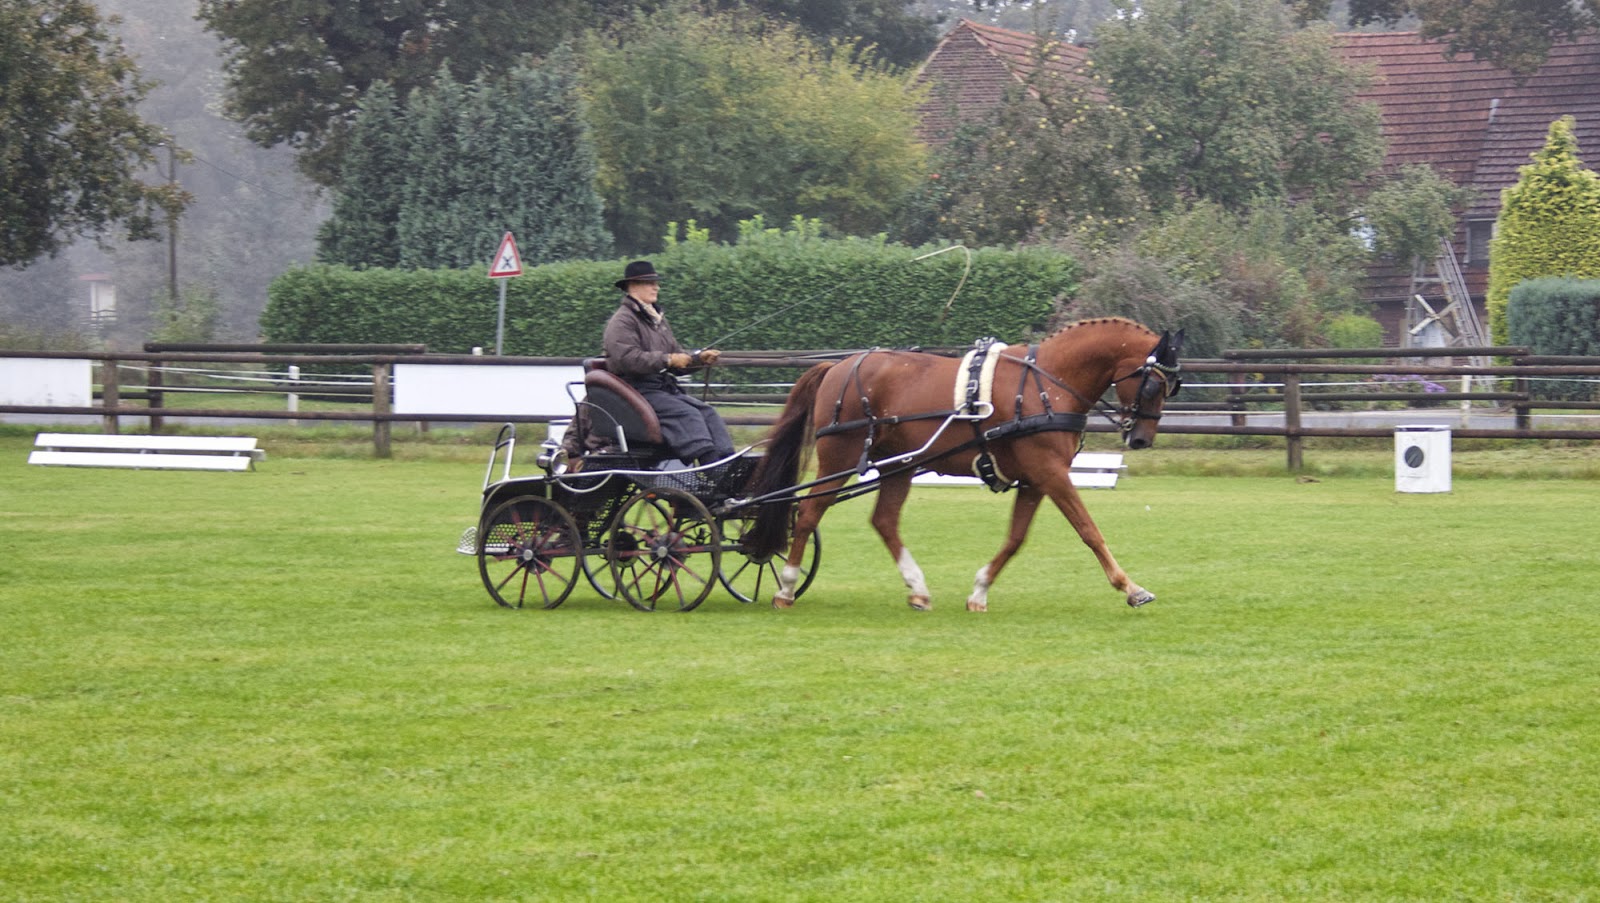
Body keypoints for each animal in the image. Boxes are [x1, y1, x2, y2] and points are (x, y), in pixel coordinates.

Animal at [742, 317, 1183, 612]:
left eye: (1172, 386)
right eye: (1152, 384)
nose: (1141, 440)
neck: (1047, 384)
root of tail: (838, 366)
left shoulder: (1035, 480)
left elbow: (1015, 538)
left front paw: (980, 590)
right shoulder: (1051, 474)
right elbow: (1089, 530)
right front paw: (1130, 587)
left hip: (899, 465)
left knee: (883, 520)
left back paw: (918, 589)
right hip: (841, 456)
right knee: (809, 513)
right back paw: (786, 588)